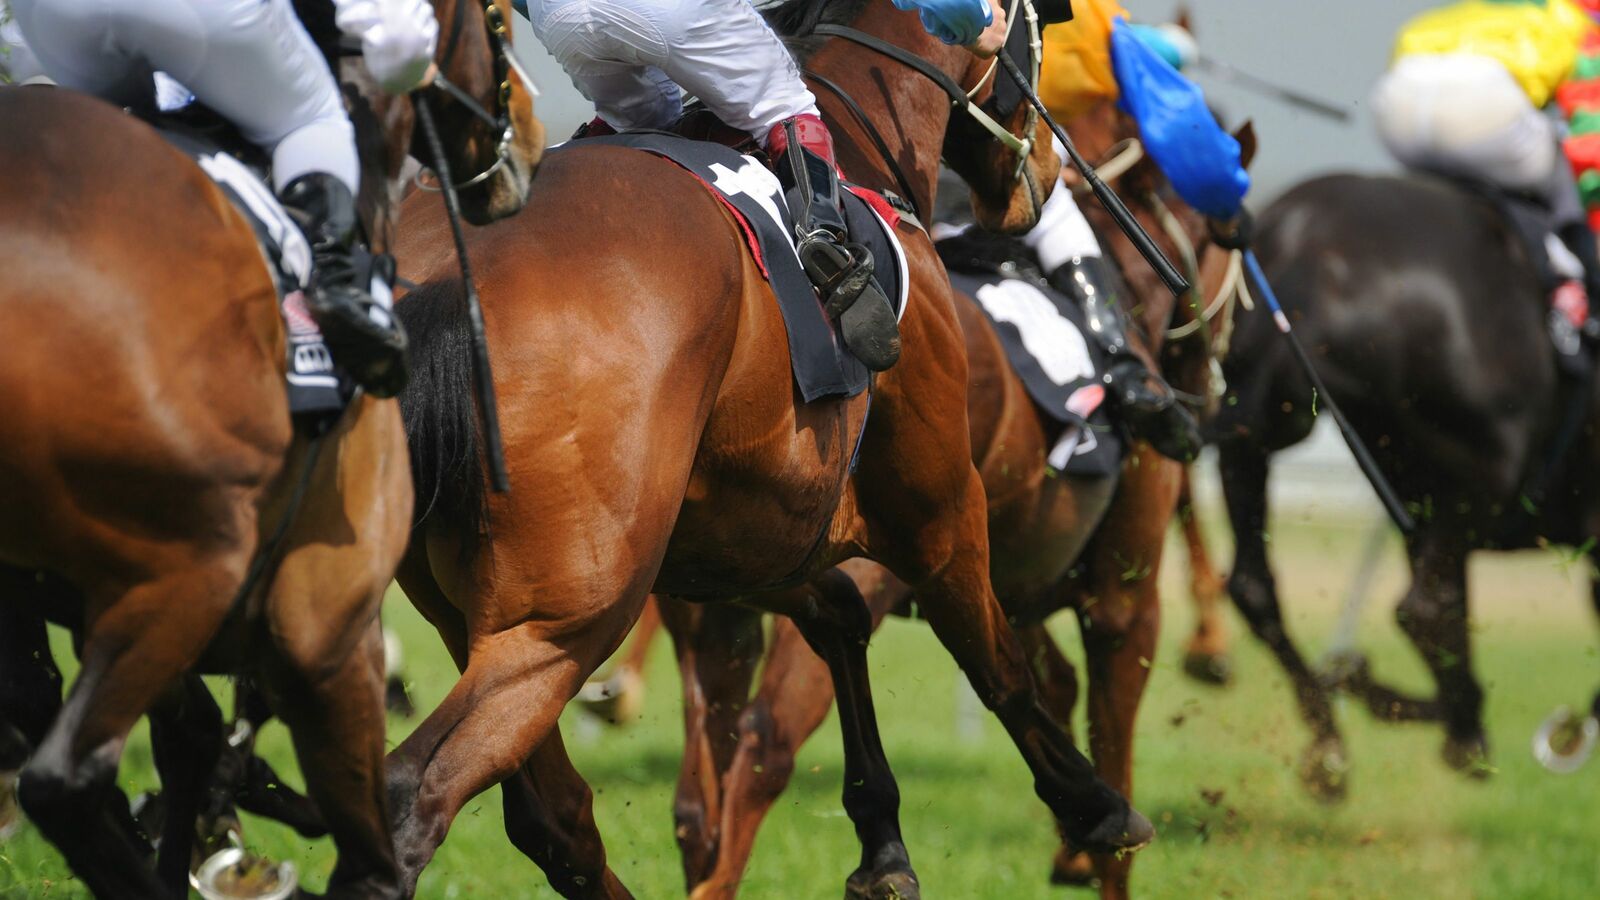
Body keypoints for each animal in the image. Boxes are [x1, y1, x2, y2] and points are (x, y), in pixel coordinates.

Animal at [0, 3, 540, 890]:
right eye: (495, 20)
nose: (527, 128)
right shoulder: (329, 627)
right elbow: (366, 842)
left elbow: (188, 737)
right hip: (193, 566)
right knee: (65, 778)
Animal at [387, 0, 1164, 890]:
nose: (1041, 178)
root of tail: (446, 282)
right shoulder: (937, 503)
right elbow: (994, 658)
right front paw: (1095, 805)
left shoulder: (742, 537)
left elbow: (841, 617)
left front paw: (882, 841)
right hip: (565, 616)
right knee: (417, 792)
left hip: (464, 607)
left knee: (553, 817)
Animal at [659, 106, 1248, 896]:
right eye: (1230, 236)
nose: (1207, 391)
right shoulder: (1122, 601)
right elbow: (1110, 743)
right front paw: (1099, 832)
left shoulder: (1003, 586)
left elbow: (1047, 684)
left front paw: (1071, 840)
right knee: (765, 741)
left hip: (712, 588)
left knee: (700, 791)